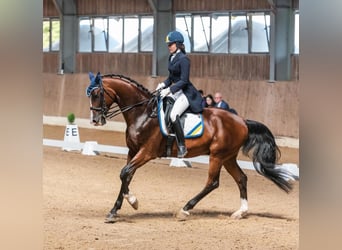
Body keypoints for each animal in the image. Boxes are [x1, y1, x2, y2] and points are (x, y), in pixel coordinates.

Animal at [86, 72, 296, 223]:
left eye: (97, 94)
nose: (95, 120)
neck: (142, 113)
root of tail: (242, 121)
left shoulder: (146, 152)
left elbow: (124, 173)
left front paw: (132, 202)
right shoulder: (133, 151)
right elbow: (126, 176)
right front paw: (116, 210)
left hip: (217, 156)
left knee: (213, 182)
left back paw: (184, 210)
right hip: (228, 157)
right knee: (241, 178)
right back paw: (240, 212)